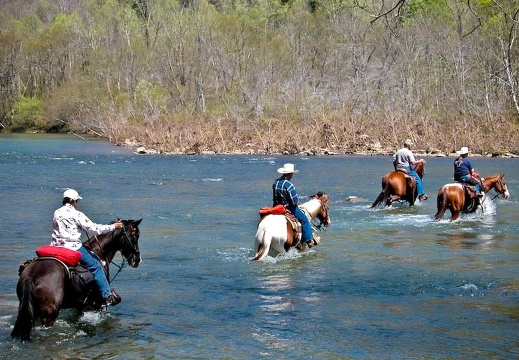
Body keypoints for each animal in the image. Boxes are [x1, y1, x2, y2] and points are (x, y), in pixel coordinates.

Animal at [11, 219, 143, 340]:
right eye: (135, 235)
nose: (137, 259)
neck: (97, 252)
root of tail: (31, 277)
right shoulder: (98, 302)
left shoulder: (80, 304)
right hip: (49, 314)